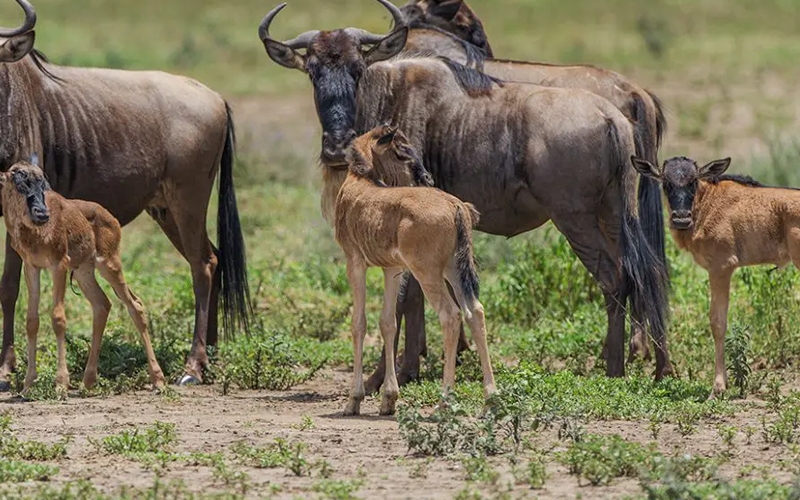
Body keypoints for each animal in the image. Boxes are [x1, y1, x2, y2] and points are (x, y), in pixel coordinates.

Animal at [0, 156, 166, 394]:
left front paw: (61, 384)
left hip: (109, 265)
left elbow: (58, 317)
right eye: (19, 182)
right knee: (102, 305)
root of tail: (111, 218)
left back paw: (158, 380)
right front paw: (28, 385)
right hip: (83, 272)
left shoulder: (59, 264)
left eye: (44, 184)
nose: (42, 214)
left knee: (135, 305)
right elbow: (32, 321)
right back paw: (88, 381)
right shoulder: (32, 267)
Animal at [332, 125, 494, 414]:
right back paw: (491, 398)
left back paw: (444, 400)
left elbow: (359, 323)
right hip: (453, 270)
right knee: (474, 311)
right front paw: (388, 399)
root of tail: (456, 206)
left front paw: (354, 399)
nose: (427, 178)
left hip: (428, 272)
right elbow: (388, 322)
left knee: (451, 315)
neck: (360, 181)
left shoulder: (355, 262)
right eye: (401, 151)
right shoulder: (393, 269)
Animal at [632, 154, 792, 396]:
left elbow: (717, 324)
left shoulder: (721, 268)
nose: (681, 219)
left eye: (693, 181)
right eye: (666, 183)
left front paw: (717, 388)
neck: (706, 204)